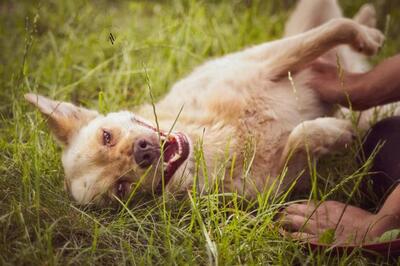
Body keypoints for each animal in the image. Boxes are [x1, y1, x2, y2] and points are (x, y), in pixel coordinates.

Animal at [25, 0, 384, 206]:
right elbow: (299, 138)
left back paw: (368, 22)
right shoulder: (279, 185)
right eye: (121, 189)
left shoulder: (266, 60)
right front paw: (335, 132)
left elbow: (334, 29)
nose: (143, 152)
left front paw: (366, 37)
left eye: (107, 136)